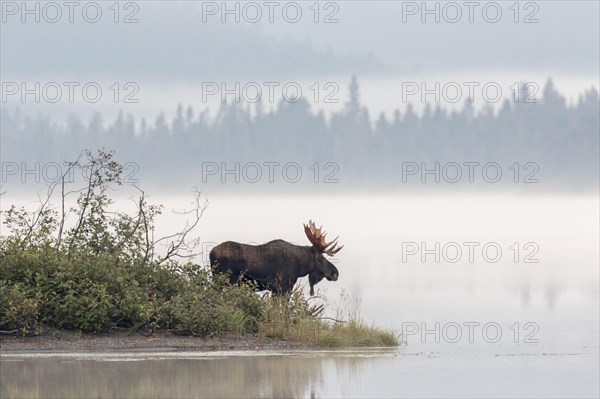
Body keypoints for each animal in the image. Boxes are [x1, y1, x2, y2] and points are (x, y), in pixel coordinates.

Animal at [210, 222, 342, 296]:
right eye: (320, 258)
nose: (335, 273)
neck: (300, 267)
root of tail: (211, 253)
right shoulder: (282, 286)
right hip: (229, 280)